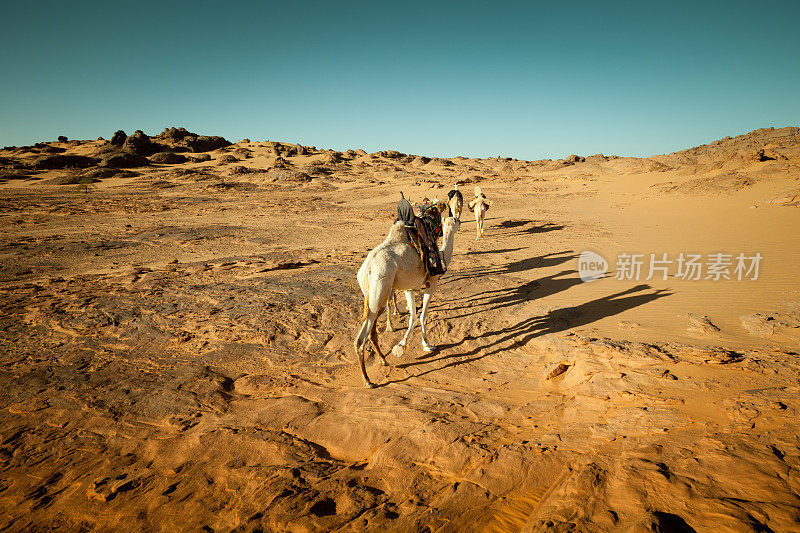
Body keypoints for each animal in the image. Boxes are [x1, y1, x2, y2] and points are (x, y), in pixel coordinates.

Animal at [356, 215, 462, 386]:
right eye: (455, 220)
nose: (460, 221)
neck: (442, 255)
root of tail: (368, 268)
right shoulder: (432, 285)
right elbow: (422, 316)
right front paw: (425, 345)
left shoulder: (409, 289)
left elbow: (413, 317)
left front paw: (402, 345)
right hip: (380, 286)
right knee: (361, 338)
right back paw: (368, 381)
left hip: (372, 293)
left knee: (372, 328)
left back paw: (383, 360)